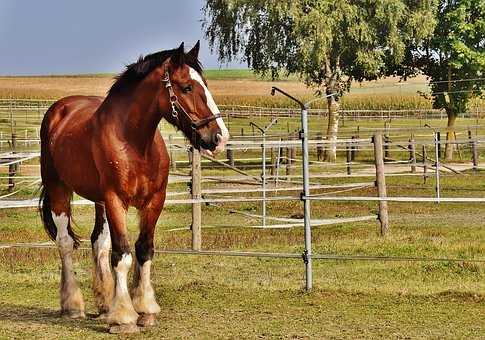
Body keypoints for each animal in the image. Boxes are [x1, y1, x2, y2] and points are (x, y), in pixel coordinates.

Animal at [38, 41, 229, 332]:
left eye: (205, 84)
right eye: (187, 87)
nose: (219, 138)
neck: (134, 144)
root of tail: (58, 110)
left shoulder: (153, 201)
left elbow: (143, 250)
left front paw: (145, 310)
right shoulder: (116, 200)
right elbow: (123, 254)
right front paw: (125, 318)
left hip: (99, 202)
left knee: (99, 243)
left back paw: (105, 304)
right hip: (59, 189)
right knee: (65, 243)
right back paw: (73, 305)